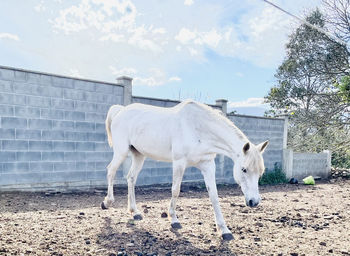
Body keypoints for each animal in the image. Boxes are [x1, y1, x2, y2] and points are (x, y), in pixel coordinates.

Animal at [101, 99, 268, 240]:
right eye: (244, 169)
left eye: (260, 173)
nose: (254, 202)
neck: (198, 128)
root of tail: (121, 111)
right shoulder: (179, 163)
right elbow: (175, 190)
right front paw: (174, 219)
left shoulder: (208, 165)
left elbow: (214, 195)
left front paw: (224, 230)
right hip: (121, 152)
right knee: (110, 171)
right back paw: (107, 202)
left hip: (139, 155)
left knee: (131, 178)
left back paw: (135, 212)